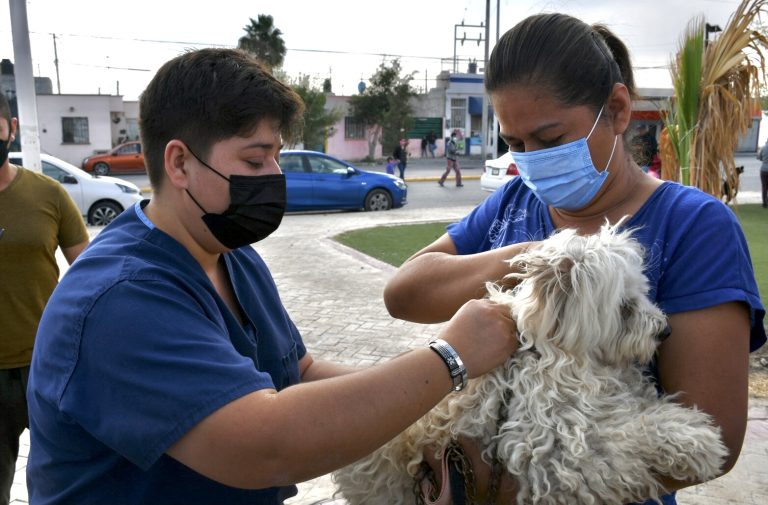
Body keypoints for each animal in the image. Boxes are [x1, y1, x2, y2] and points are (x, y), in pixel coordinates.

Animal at [332, 223, 728, 504]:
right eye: (625, 306)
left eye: (644, 293)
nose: (666, 331)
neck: (555, 353)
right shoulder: (553, 451)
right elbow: (620, 438)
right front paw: (694, 440)